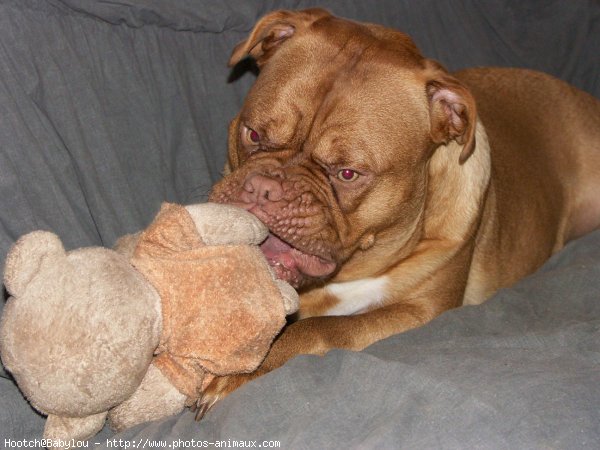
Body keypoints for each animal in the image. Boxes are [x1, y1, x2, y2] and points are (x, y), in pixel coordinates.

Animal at [195, 7, 596, 418]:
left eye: (348, 173)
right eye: (253, 134)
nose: (265, 189)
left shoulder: (420, 311)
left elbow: (323, 327)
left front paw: (246, 370)